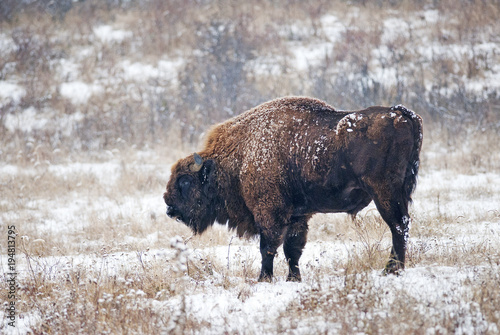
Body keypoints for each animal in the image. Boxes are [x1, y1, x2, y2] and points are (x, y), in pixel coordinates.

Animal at [164, 96, 422, 282]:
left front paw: (264, 279)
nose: (168, 205)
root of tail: (402, 114)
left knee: (398, 226)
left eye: (185, 181)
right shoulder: (298, 215)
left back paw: (391, 270)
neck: (241, 156)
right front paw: (293, 279)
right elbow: (292, 249)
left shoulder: (269, 213)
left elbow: (268, 247)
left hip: (385, 193)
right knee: (402, 226)